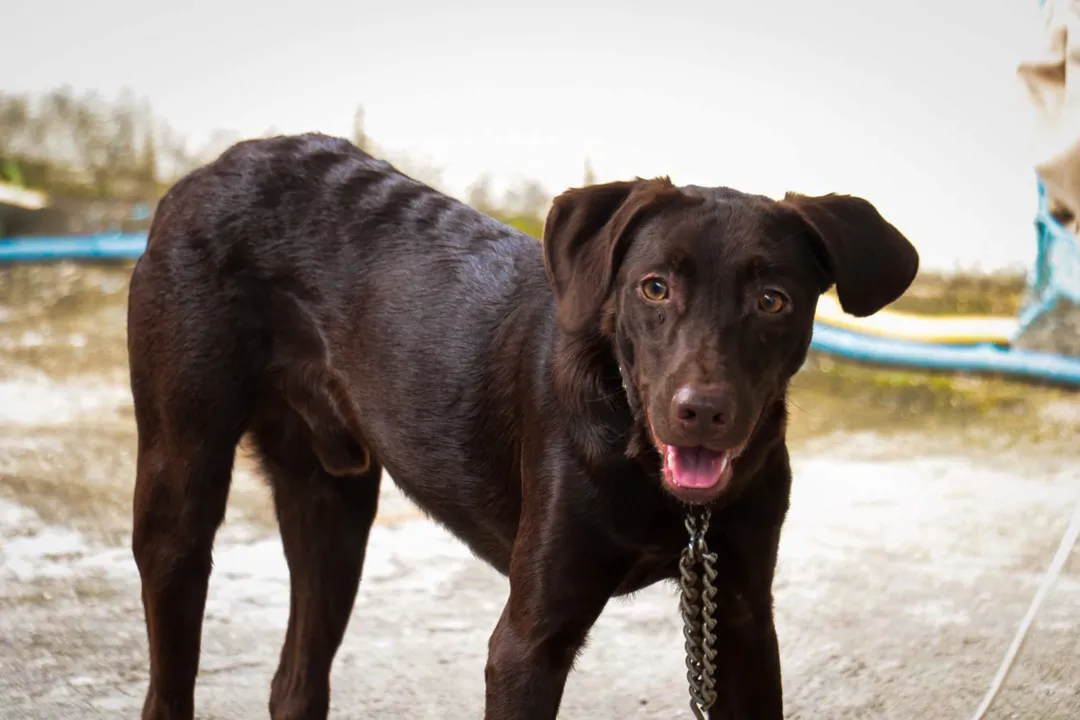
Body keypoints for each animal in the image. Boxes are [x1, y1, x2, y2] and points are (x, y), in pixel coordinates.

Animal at [128, 132, 920, 716]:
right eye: (654, 288)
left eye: (773, 300)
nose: (701, 410)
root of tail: (212, 169)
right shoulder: (527, 643)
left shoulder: (741, 622)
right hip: (178, 494)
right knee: (169, 684)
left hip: (334, 513)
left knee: (295, 685)